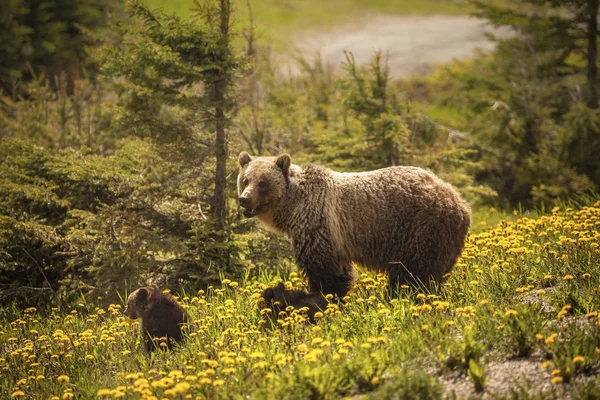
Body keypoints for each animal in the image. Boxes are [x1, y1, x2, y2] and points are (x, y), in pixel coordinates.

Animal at [237, 150, 472, 310]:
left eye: (262, 183)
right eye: (245, 179)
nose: (244, 199)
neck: (293, 207)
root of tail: (460, 202)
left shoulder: (318, 224)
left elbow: (324, 271)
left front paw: (321, 298)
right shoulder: (334, 238)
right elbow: (341, 272)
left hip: (420, 228)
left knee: (414, 273)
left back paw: (400, 297)